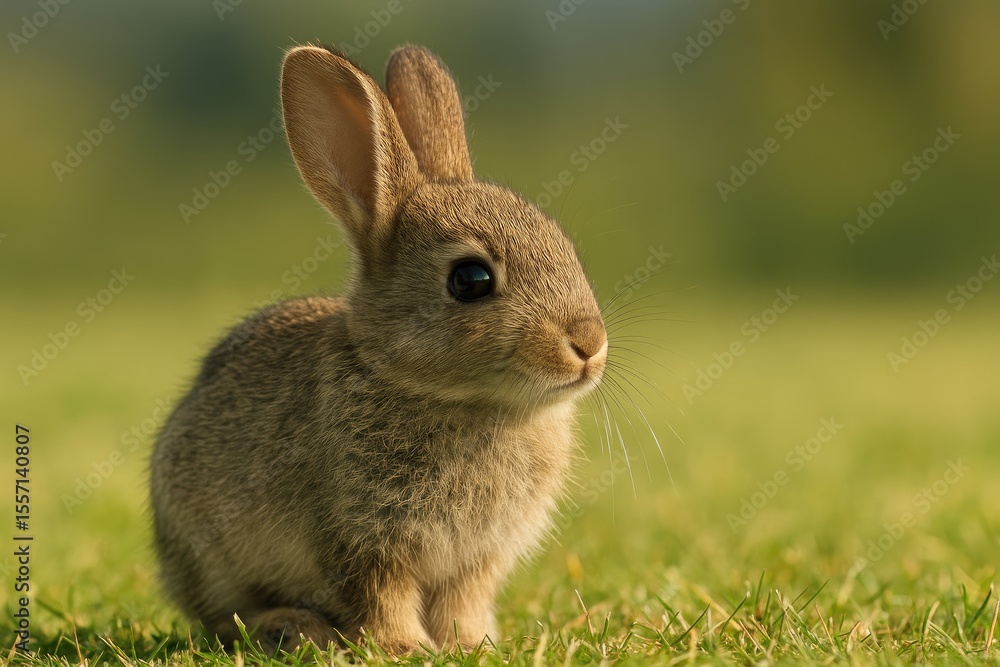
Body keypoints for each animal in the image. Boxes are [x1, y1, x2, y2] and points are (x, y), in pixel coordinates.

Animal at [150, 43, 608, 655]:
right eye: (471, 279)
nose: (589, 343)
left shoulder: (477, 557)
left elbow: (462, 601)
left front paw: (470, 645)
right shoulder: (359, 537)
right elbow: (378, 595)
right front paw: (405, 648)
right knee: (225, 618)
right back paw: (291, 629)